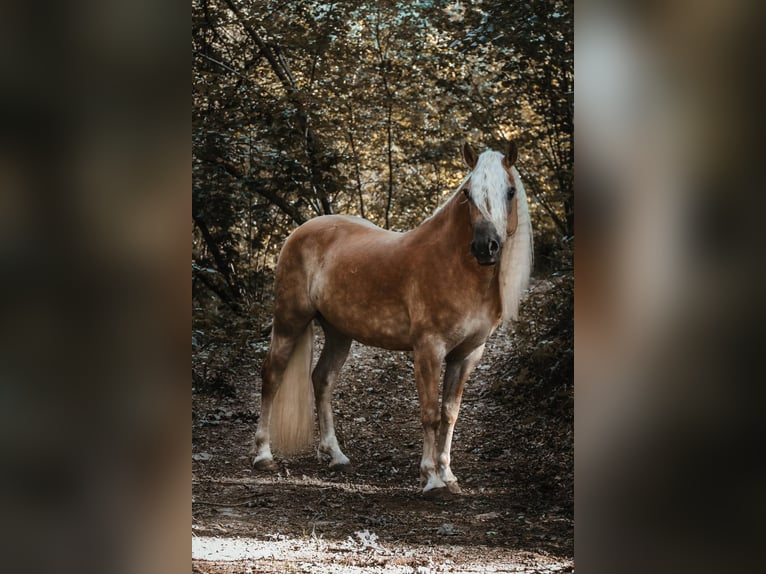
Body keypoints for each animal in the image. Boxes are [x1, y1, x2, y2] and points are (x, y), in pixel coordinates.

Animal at [251, 141, 533, 496]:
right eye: (468, 193)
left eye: (510, 192)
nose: (486, 247)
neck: (455, 264)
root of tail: (299, 232)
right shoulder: (428, 349)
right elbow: (430, 414)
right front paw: (431, 478)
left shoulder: (467, 354)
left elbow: (450, 414)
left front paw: (448, 474)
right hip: (290, 320)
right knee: (272, 375)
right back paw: (263, 455)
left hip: (339, 332)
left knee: (322, 379)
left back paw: (336, 455)